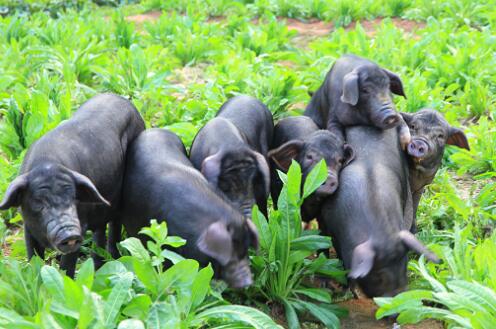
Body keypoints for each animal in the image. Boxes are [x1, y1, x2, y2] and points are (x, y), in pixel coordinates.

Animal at [0, 93, 146, 276]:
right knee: (100, 231)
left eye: (74, 198)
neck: (48, 163)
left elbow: (67, 264)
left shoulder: (81, 224)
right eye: (39, 203)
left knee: (114, 226)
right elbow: (33, 257)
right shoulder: (28, 227)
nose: (69, 233)